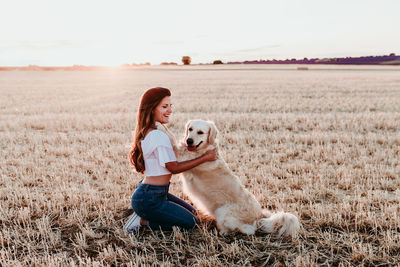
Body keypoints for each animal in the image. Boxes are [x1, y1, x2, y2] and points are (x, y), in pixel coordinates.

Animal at [156, 120, 300, 238]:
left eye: (200, 132)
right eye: (190, 129)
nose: (189, 141)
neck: (204, 149)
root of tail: (259, 216)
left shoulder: (181, 158)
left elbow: (172, 139)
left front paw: (159, 125)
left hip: (223, 211)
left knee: (246, 230)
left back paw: (222, 232)